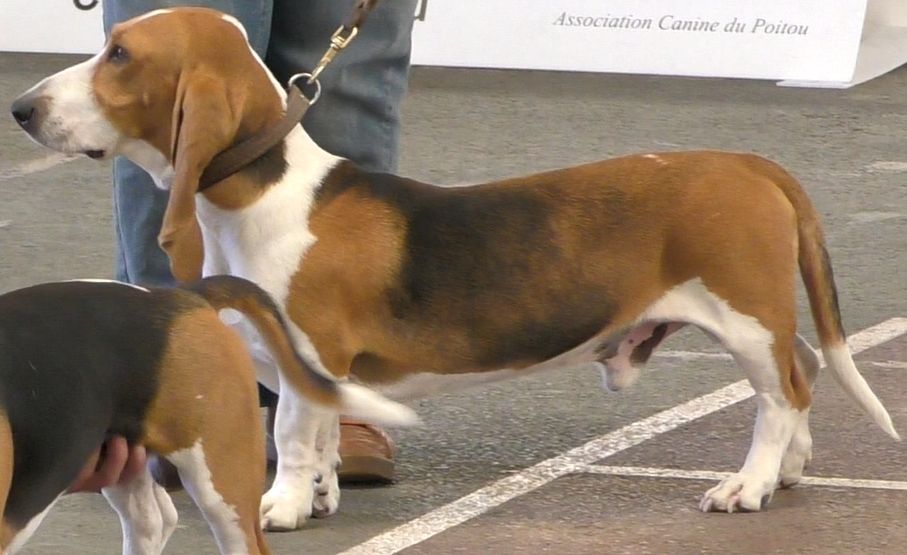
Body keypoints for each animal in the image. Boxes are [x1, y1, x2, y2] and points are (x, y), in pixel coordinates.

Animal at [11, 7, 898, 528]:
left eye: (118, 54)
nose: (20, 109)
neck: (258, 190)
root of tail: (750, 162)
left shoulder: (309, 356)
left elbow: (294, 434)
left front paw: (285, 504)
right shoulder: (322, 371)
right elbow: (322, 435)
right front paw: (324, 490)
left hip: (742, 314)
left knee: (781, 394)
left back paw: (747, 484)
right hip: (753, 317)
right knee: (801, 372)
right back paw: (790, 470)